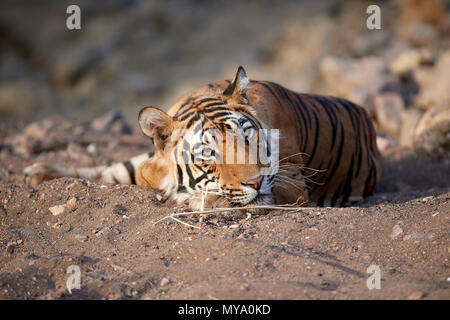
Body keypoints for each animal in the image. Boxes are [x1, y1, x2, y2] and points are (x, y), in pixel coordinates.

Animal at [23, 65, 380, 210]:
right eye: (210, 154)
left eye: (248, 139)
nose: (255, 182)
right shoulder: (147, 166)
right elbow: (108, 171)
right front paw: (40, 172)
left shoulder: (292, 179)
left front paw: (201, 200)